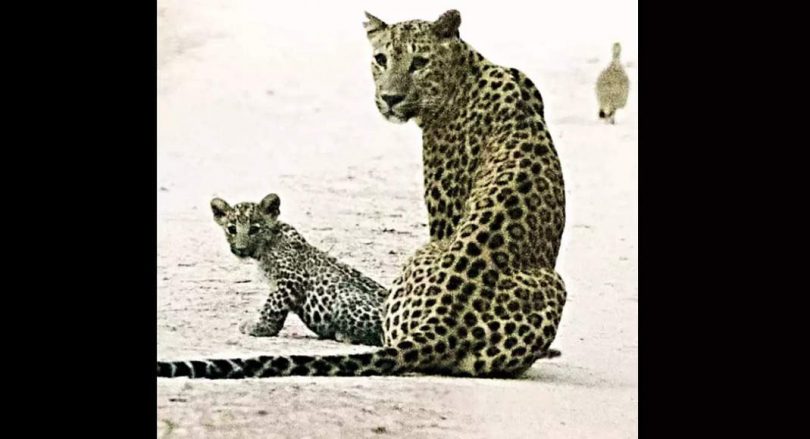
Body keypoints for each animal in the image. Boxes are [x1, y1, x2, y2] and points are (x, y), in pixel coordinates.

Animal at [211, 193, 387, 346]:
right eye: (232, 229)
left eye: (254, 229)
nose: (241, 249)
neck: (267, 246)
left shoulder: (291, 279)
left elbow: (272, 306)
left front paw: (259, 327)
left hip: (344, 299)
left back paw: (343, 334)